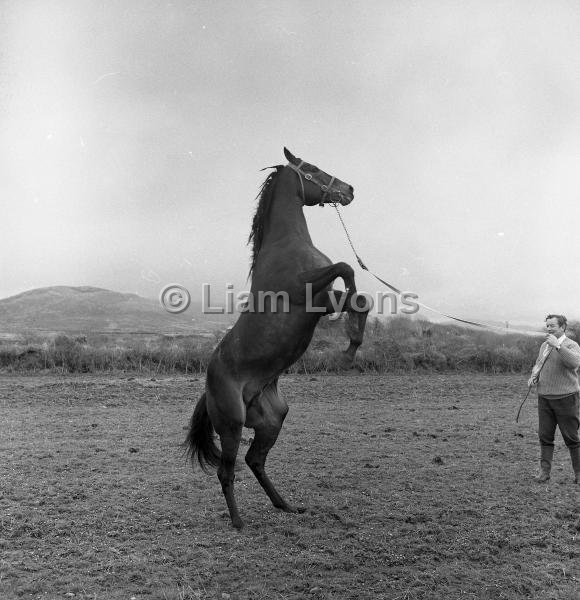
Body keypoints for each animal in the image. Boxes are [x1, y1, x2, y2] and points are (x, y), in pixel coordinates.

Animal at [186, 148, 368, 528]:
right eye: (312, 168)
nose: (348, 189)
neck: (287, 244)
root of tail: (208, 387)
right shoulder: (305, 290)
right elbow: (347, 268)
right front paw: (348, 343)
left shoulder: (321, 301)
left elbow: (361, 300)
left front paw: (352, 345)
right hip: (231, 424)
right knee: (227, 471)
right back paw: (238, 523)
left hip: (272, 420)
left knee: (255, 461)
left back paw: (286, 505)